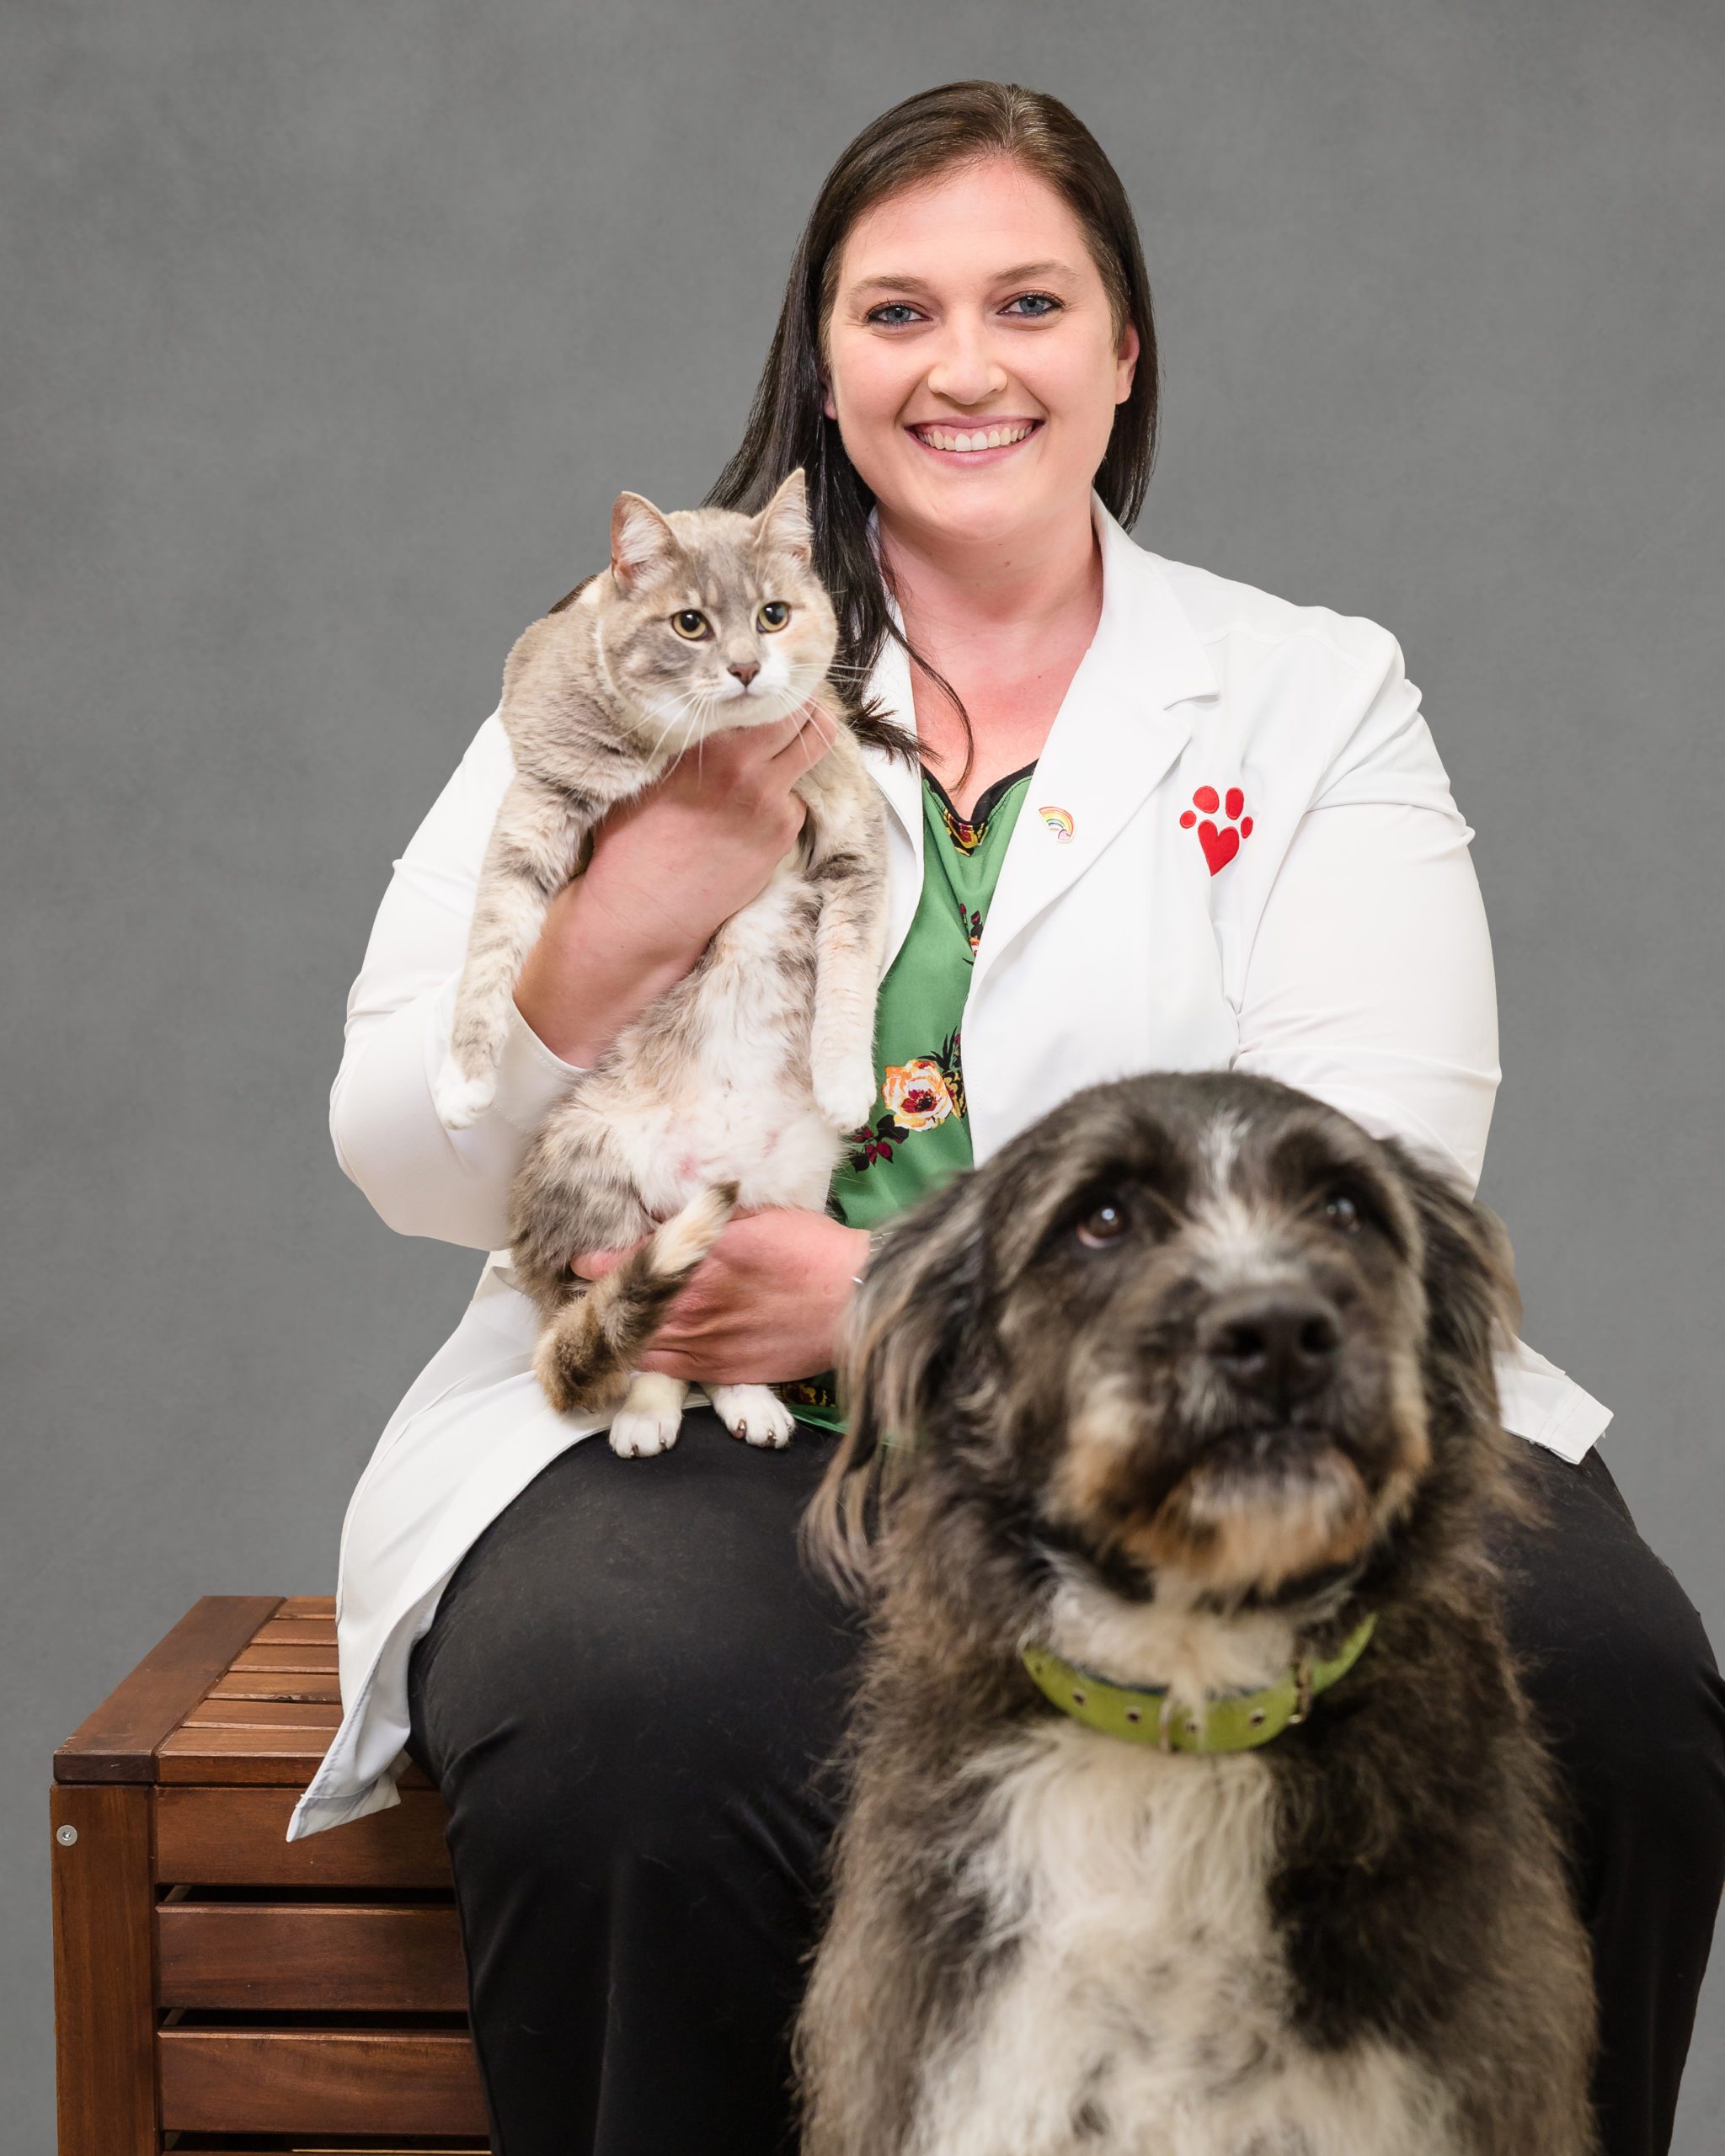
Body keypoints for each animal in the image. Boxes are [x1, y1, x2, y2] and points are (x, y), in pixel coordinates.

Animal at [431, 467, 896, 1449]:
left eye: (771, 614)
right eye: (689, 624)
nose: (747, 667)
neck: (698, 752)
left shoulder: (850, 826)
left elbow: (847, 961)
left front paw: (843, 1077)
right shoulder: (542, 795)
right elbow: (492, 939)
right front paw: (463, 1079)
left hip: (785, 1185)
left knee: (712, 1352)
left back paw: (752, 1404)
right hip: (593, 1178)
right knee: (646, 1344)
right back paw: (646, 1416)